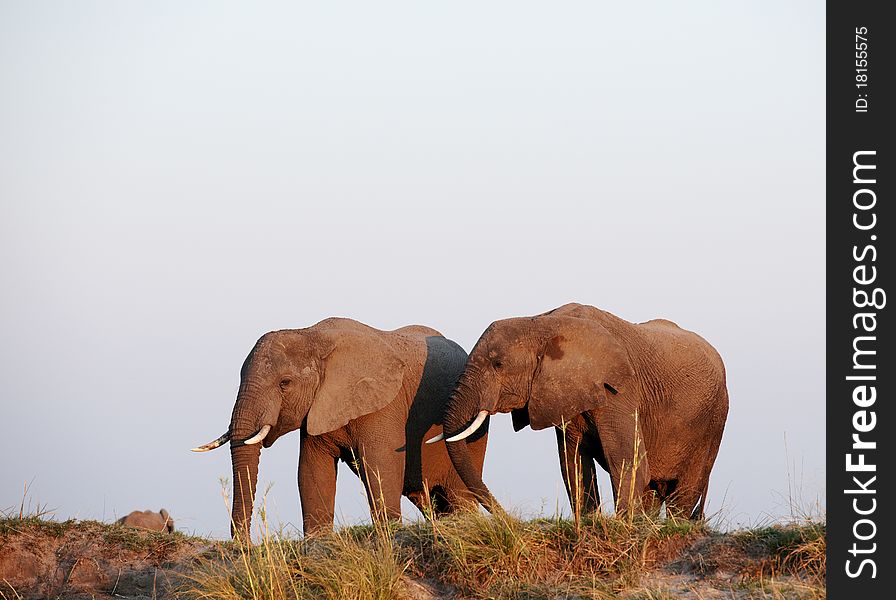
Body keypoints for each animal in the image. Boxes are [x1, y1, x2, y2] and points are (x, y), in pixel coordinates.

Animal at [191, 318, 490, 540]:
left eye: (284, 383)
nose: (245, 544)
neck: (311, 335)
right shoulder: (318, 408)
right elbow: (312, 470)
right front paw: (317, 540)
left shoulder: (383, 405)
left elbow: (380, 466)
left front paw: (388, 533)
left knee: (460, 496)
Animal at [430, 304, 732, 520]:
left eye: (498, 364)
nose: (510, 519)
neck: (541, 322)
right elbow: (573, 464)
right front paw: (588, 522)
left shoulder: (619, 391)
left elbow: (626, 461)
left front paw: (621, 526)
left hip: (713, 420)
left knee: (685, 491)